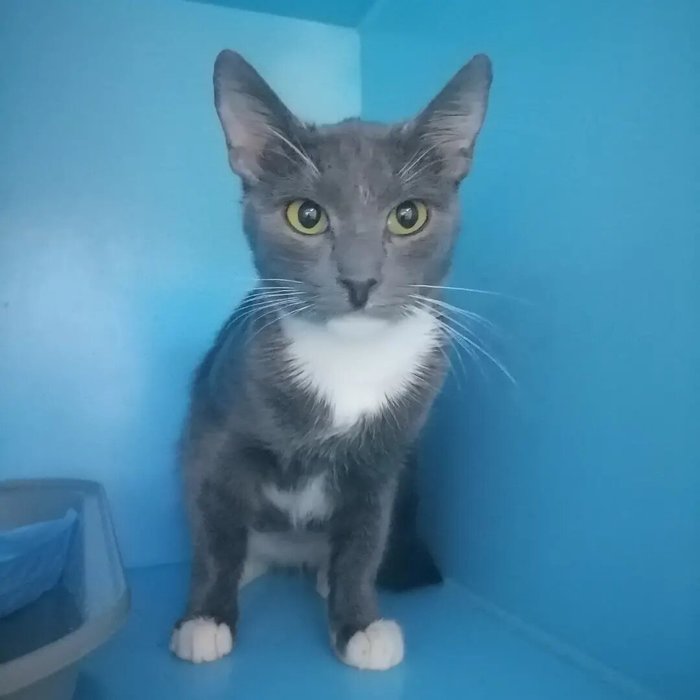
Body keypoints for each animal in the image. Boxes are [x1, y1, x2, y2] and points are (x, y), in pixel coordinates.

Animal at [170, 50, 492, 671]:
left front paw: (358, 623)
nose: (359, 280)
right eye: (307, 216)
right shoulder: (217, 433)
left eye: (408, 216)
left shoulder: (385, 462)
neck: (351, 361)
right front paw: (206, 618)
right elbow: (215, 530)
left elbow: (363, 545)